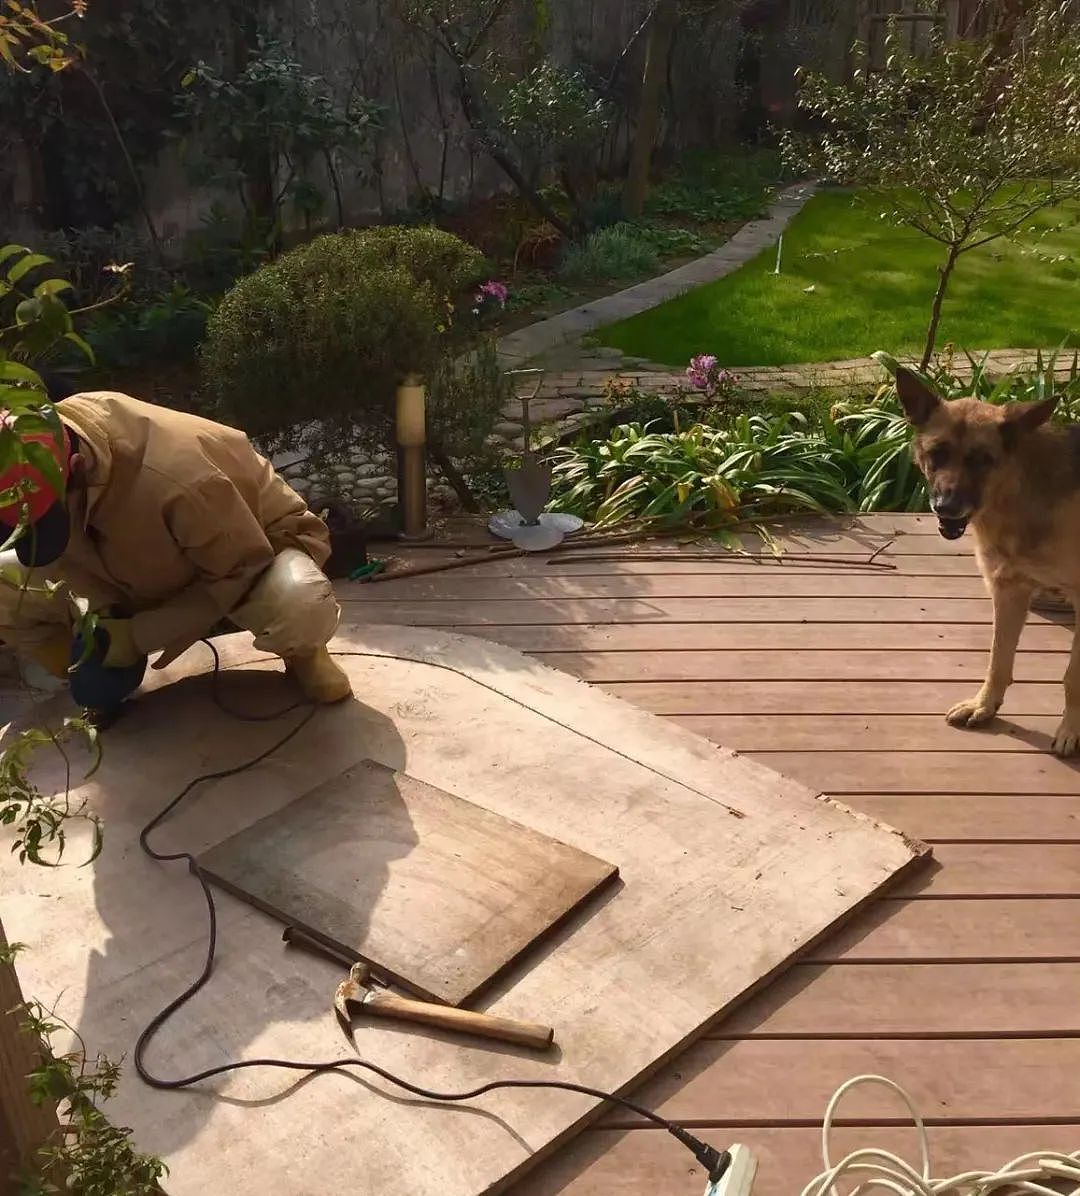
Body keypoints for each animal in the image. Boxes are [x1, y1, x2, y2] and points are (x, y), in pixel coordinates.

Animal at [899, 365, 1076, 755]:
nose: (945, 508)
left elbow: (1073, 676)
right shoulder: (1009, 591)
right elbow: (998, 660)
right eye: (937, 454)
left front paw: (1071, 728)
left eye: (982, 460)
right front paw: (985, 705)